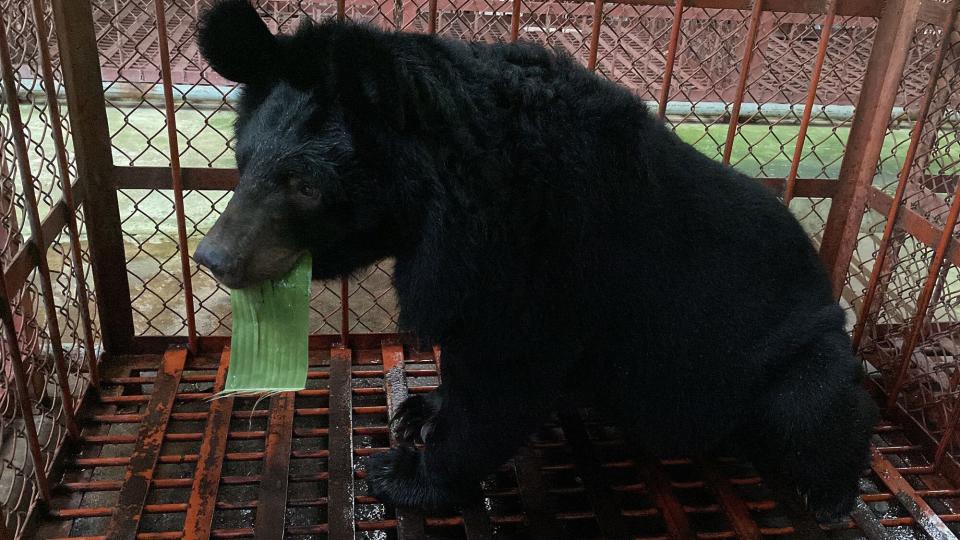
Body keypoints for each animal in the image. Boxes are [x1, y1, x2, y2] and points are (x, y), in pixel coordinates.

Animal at [193, 0, 876, 524]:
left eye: (304, 185)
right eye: (242, 159)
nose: (213, 258)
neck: (444, 201)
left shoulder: (536, 262)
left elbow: (500, 386)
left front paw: (404, 474)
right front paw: (419, 410)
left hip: (790, 365)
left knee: (819, 410)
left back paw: (829, 496)